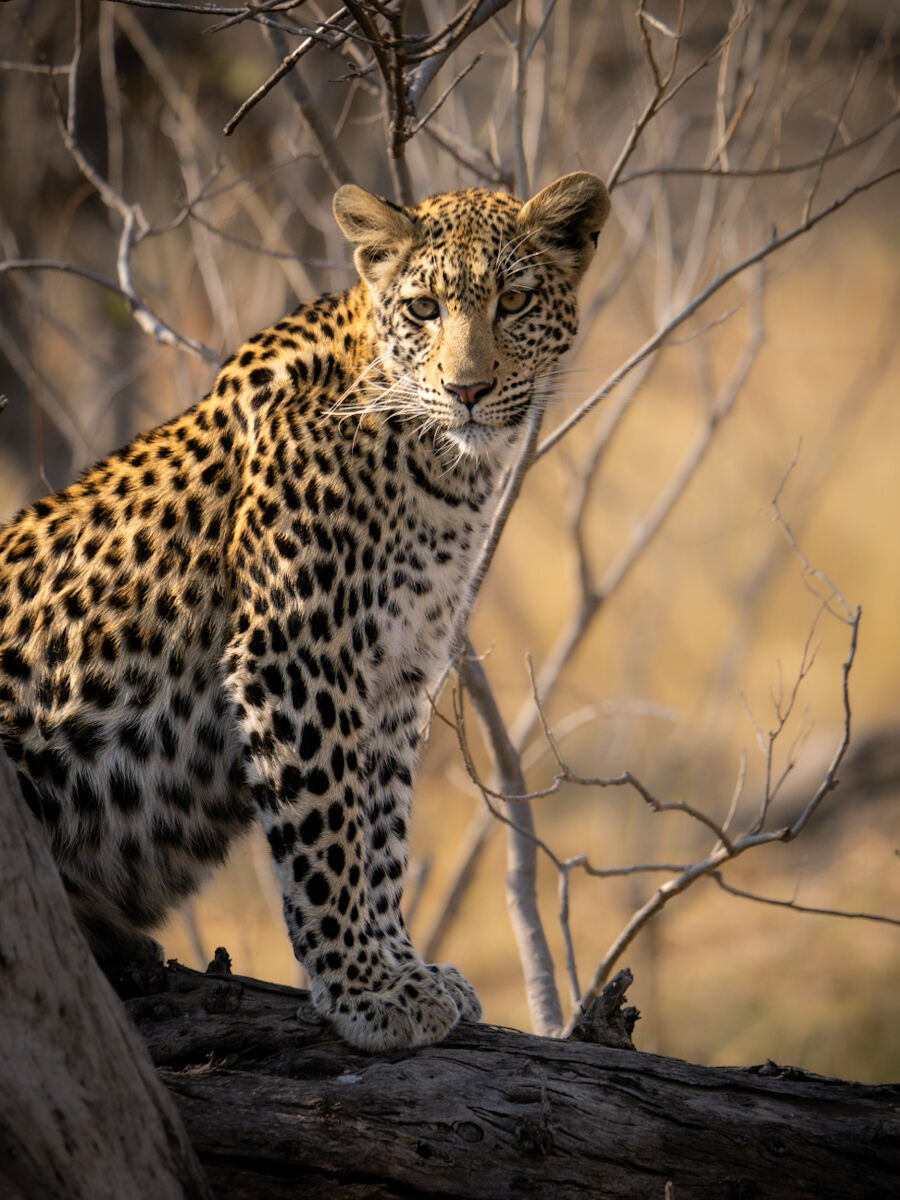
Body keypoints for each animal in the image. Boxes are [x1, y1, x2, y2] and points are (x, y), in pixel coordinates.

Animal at [0, 171, 609, 1050]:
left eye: (516, 300)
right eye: (423, 308)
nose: (467, 390)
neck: (440, 474)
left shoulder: (398, 671)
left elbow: (381, 828)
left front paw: (404, 966)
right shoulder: (294, 651)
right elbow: (327, 829)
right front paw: (363, 987)